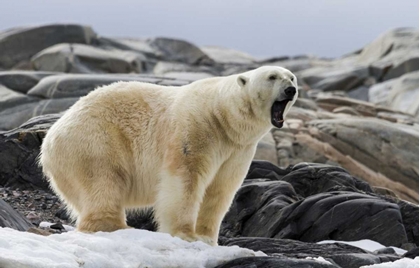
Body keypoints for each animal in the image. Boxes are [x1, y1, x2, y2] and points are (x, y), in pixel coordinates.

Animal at [38, 65, 296, 245]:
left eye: (291, 77)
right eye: (272, 77)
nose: (291, 89)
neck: (222, 116)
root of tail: (50, 139)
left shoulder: (237, 149)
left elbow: (221, 189)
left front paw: (207, 238)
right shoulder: (196, 129)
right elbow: (186, 180)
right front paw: (185, 234)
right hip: (95, 140)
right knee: (103, 179)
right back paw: (115, 226)